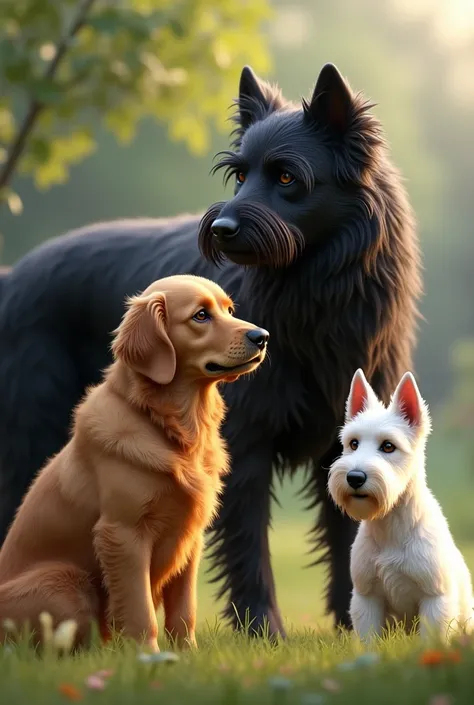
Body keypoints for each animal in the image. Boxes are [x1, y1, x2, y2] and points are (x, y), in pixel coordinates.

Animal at [0, 274, 268, 648]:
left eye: (229, 310)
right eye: (200, 315)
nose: (263, 336)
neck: (171, 427)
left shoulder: (190, 535)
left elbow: (184, 610)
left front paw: (185, 653)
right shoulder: (123, 533)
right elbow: (140, 610)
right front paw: (147, 655)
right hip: (64, 582)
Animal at [328, 372, 472, 640]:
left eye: (388, 446)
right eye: (353, 443)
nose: (354, 477)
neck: (391, 525)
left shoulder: (434, 599)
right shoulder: (367, 598)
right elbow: (369, 640)